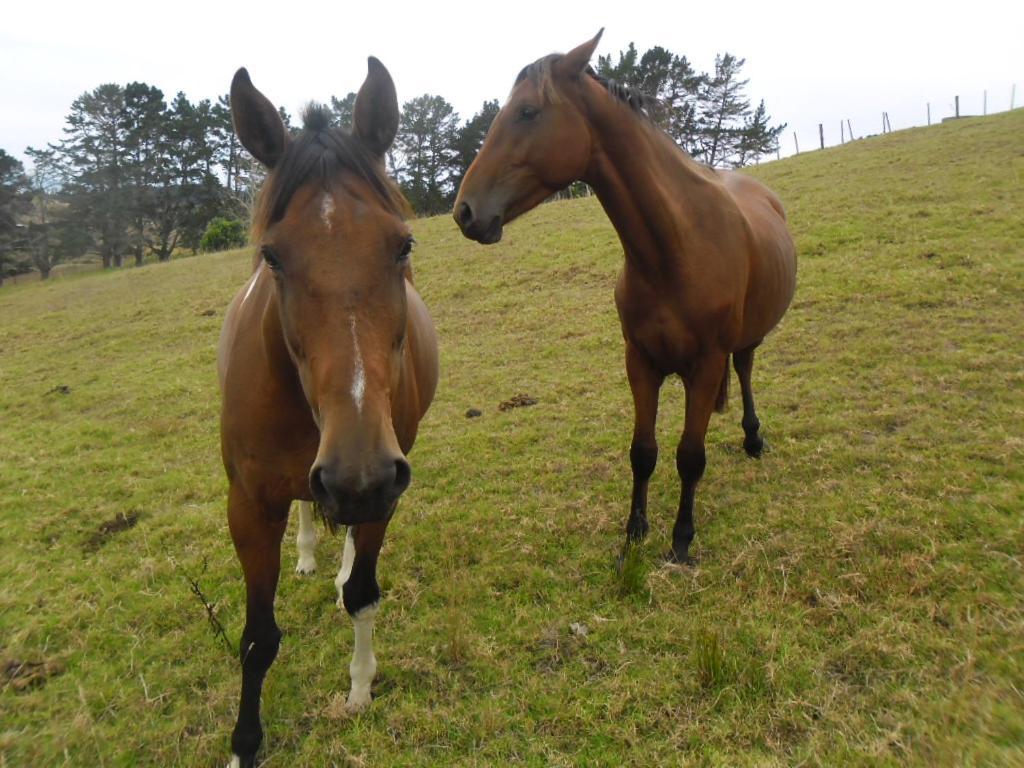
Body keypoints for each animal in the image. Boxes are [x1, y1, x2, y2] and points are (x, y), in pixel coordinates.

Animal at [220, 61, 436, 768]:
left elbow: (363, 594)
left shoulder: (386, 486)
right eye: (272, 255)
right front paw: (244, 746)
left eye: (402, 245)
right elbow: (257, 638)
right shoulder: (249, 506)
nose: (355, 475)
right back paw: (312, 549)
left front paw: (361, 688)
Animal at [456, 30, 798, 561]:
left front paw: (681, 541)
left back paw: (753, 439)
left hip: (743, 344)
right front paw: (634, 532)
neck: (675, 250)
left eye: (528, 111)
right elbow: (643, 453)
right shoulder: (640, 362)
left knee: (744, 370)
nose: (465, 211)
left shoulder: (706, 365)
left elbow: (689, 456)